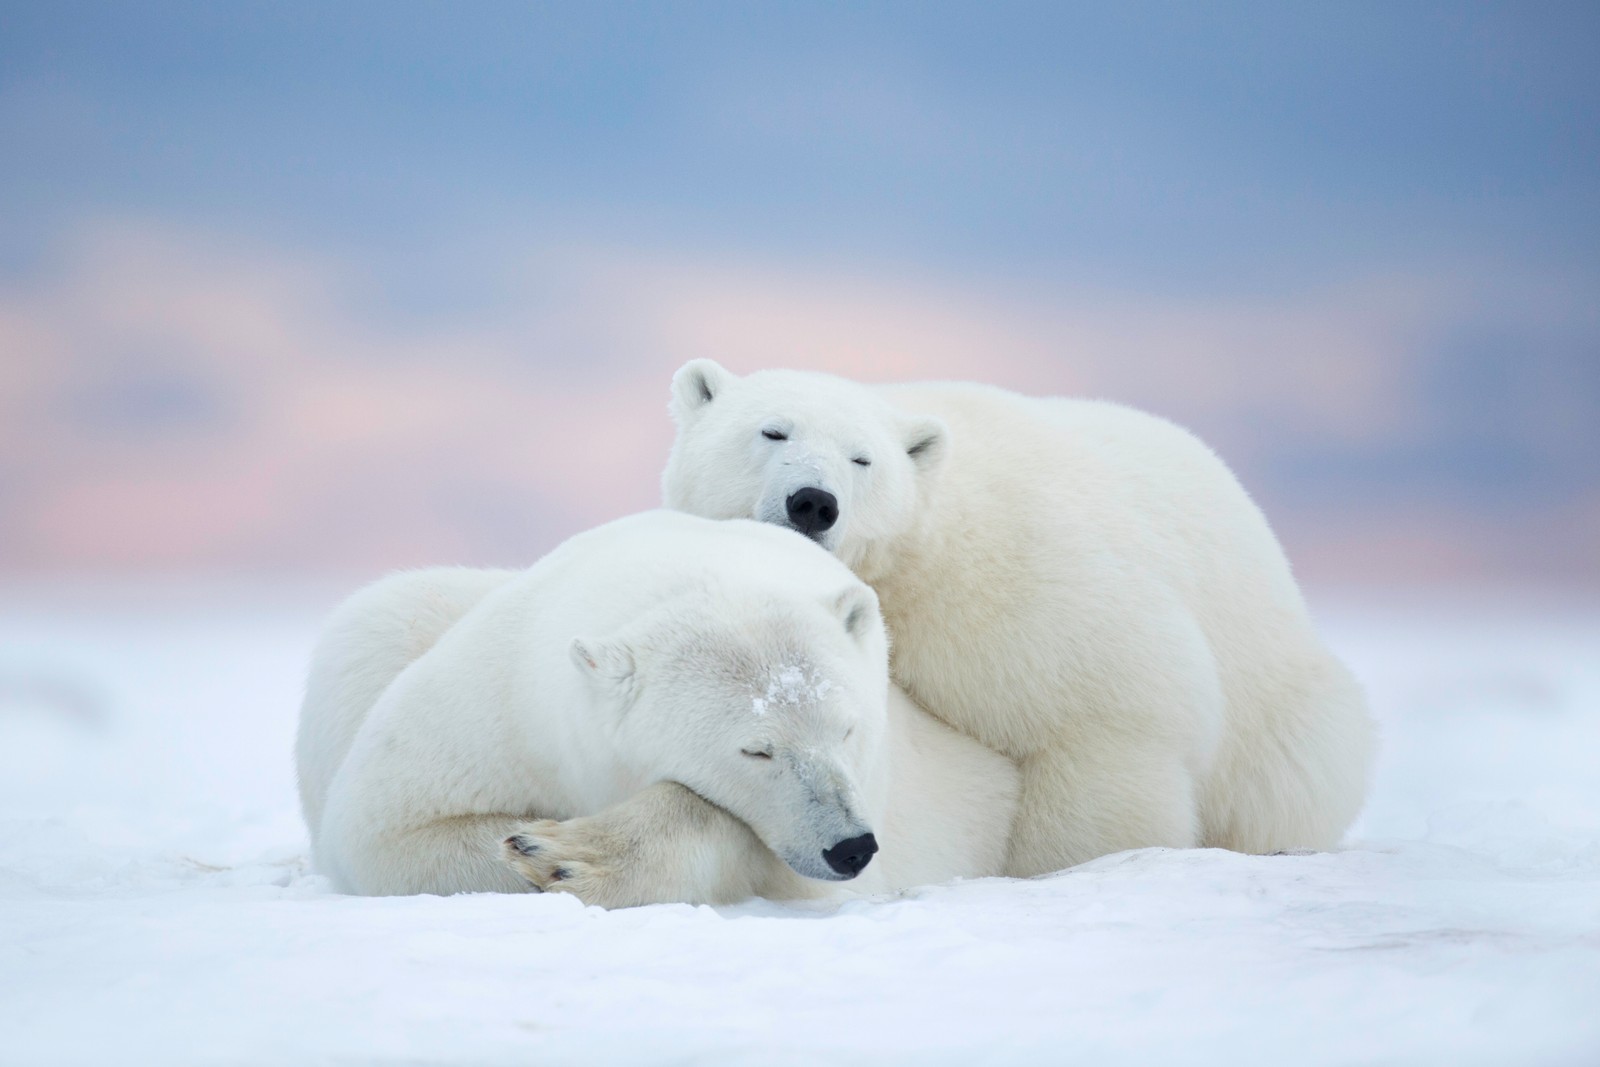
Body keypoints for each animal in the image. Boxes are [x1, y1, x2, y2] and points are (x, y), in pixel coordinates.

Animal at [296, 511, 1017, 908]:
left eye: (847, 728)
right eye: (757, 748)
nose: (851, 846)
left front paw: (568, 853)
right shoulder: (498, 703)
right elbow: (385, 829)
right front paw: (537, 844)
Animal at [662, 363, 1376, 883]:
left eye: (863, 459)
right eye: (772, 432)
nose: (813, 502)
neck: (917, 558)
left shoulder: (1023, 588)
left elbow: (1104, 720)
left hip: (1280, 707)